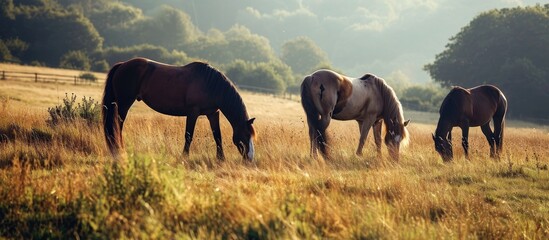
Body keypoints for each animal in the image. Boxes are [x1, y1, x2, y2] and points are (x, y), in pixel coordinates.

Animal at [101, 57, 256, 160]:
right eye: (246, 135)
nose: (250, 159)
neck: (210, 84)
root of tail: (122, 65)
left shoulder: (213, 113)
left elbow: (217, 135)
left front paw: (221, 158)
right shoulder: (193, 112)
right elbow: (188, 135)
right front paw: (185, 156)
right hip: (124, 104)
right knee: (117, 126)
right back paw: (119, 149)